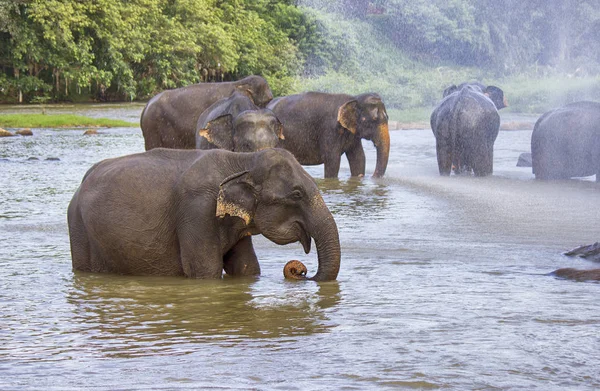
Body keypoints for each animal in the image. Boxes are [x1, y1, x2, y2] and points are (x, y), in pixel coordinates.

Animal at [67, 148, 340, 282]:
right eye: (296, 194)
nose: (302, 272)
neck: (242, 161)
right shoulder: (197, 211)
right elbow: (205, 270)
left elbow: (246, 267)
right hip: (79, 229)